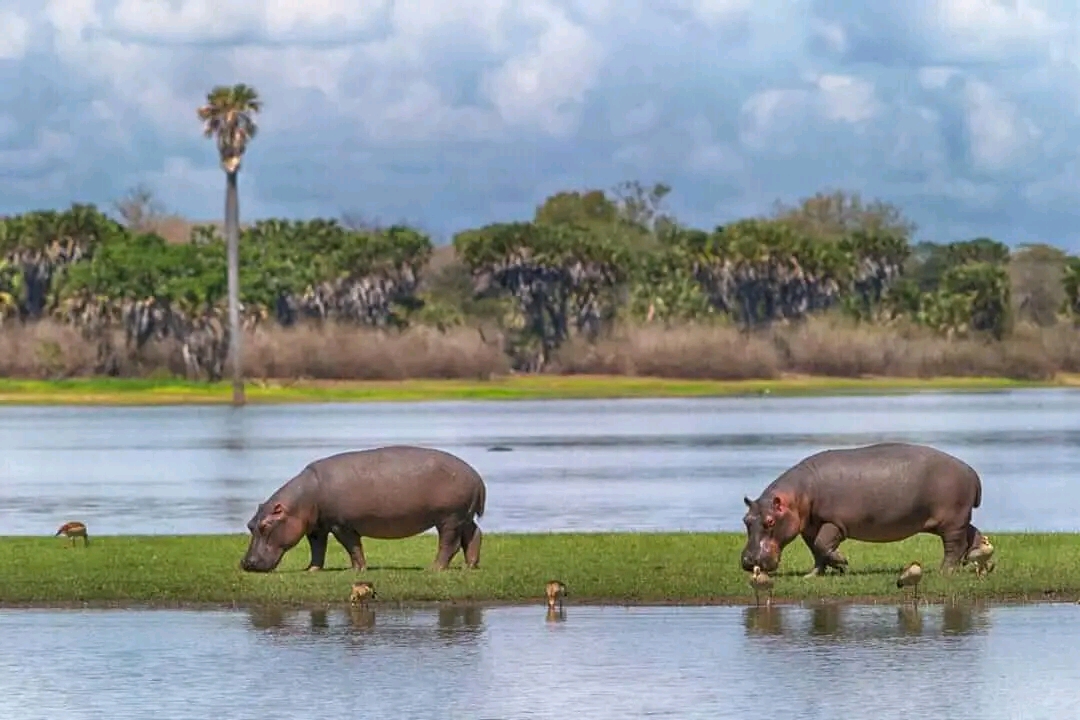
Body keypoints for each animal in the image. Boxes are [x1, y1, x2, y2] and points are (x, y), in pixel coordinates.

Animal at [243, 444, 488, 574]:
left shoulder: (341, 525)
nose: (246, 563)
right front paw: (311, 570)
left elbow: (352, 546)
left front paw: (357, 570)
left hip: (449, 518)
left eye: (265, 526)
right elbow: (318, 548)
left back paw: (434, 568)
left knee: (449, 544)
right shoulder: (317, 527)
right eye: (250, 524)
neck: (301, 500)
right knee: (474, 535)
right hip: (463, 516)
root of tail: (476, 476)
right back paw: (470, 566)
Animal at [738, 442, 984, 578]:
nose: (749, 561)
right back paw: (975, 559)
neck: (798, 495)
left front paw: (842, 561)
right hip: (952, 520)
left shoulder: (833, 522)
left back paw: (945, 572)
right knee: (972, 534)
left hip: (951, 521)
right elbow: (816, 550)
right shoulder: (808, 526)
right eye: (745, 519)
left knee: (954, 546)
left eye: (770, 521)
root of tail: (971, 471)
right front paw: (813, 574)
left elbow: (822, 544)